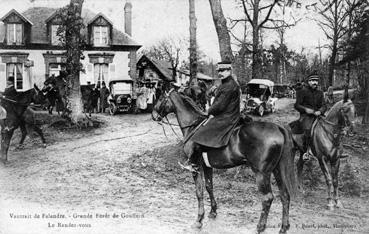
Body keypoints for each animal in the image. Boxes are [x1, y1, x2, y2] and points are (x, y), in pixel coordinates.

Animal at [151, 88, 298, 234]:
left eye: (160, 98)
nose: (153, 115)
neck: (194, 127)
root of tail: (277, 128)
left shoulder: (195, 165)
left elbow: (199, 191)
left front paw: (199, 220)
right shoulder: (206, 166)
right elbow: (209, 187)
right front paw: (213, 212)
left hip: (261, 173)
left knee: (267, 198)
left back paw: (260, 227)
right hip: (277, 170)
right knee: (285, 195)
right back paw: (284, 227)